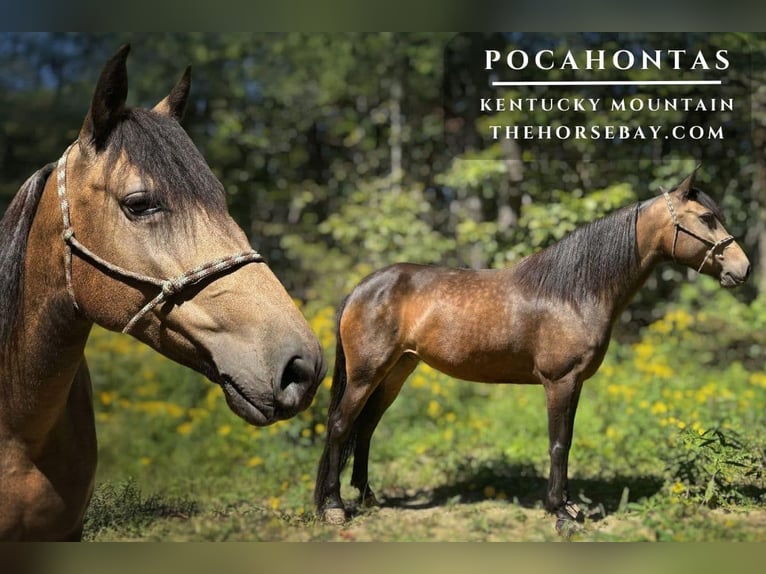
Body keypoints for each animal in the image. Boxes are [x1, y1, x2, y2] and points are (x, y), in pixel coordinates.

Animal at [314, 171, 751, 531]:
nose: (743, 269)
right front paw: (560, 512)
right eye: (707, 219)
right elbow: (558, 444)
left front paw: (570, 506)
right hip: (366, 374)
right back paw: (334, 507)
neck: (574, 291)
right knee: (340, 425)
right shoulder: (560, 381)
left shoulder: (574, 383)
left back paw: (367, 497)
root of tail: (362, 287)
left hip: (397, 371)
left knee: (367, 426)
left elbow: (566, 441)